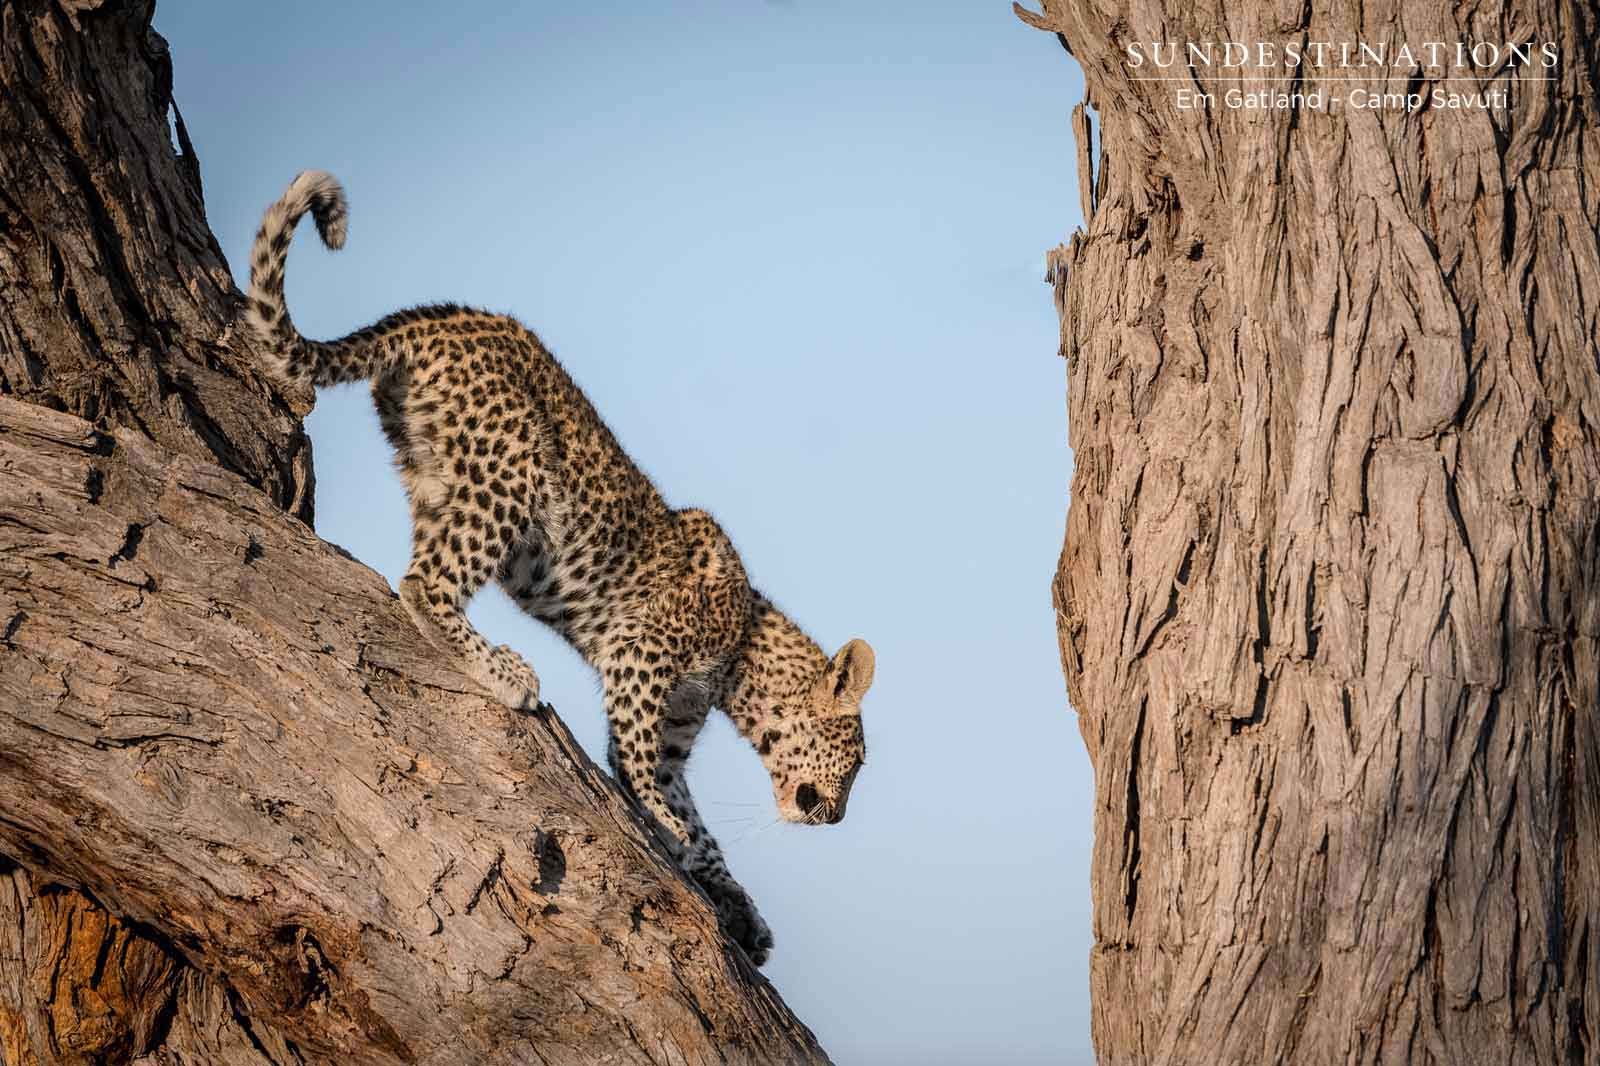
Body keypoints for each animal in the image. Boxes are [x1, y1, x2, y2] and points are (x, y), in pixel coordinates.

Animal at [243, 168, 883, 960]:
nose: (837, 818)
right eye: (854, 761)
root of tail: (442, 319)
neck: (743, 656)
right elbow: (639, 772)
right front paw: (665, 830)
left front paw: (737, 904)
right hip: (511, 467)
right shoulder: (641, 657)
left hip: (433, 469)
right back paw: (506, 672)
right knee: (424, 583)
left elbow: (697, 823)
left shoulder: (676, 728)